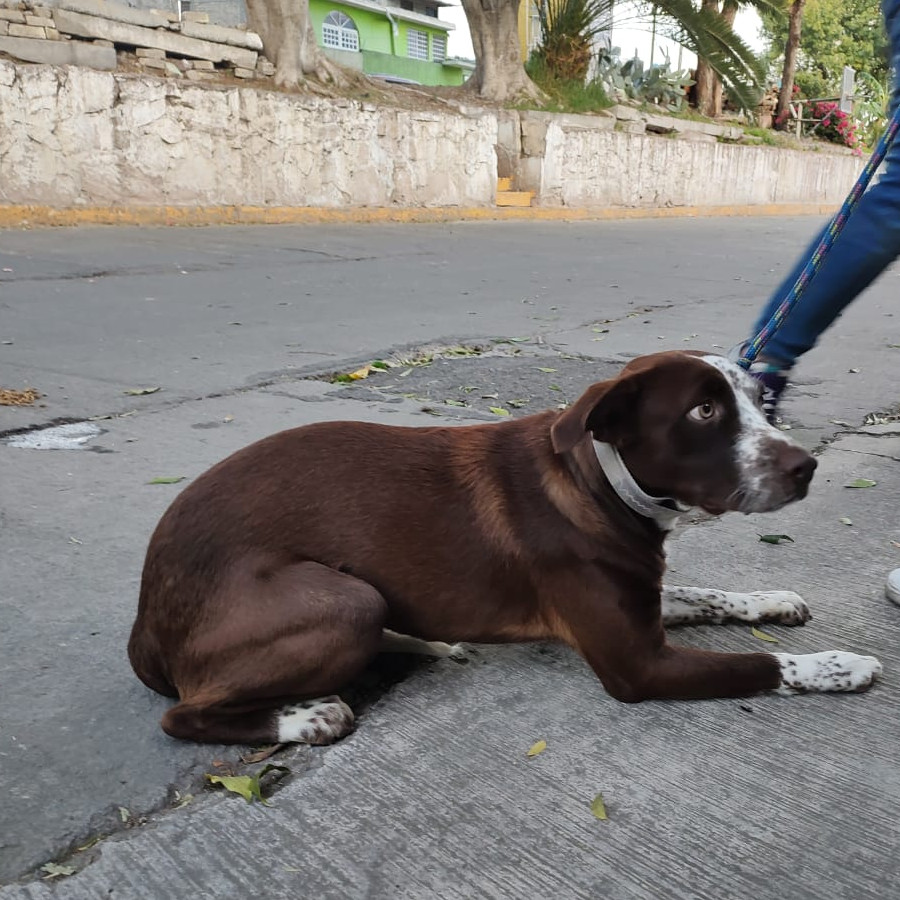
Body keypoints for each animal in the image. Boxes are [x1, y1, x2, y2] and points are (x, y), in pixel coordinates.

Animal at [130, 352, 884, 744]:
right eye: (704, 411)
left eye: (760, 399)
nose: (807, 467)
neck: (595, 481)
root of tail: (145, 621)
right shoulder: (638, 665)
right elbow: (763, 666)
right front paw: (839, 665)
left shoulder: (641, 600)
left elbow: (709, 594)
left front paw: (773, 599)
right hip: (346, 600)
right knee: (181, 714)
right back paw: (308, 715)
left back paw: (425, 642)